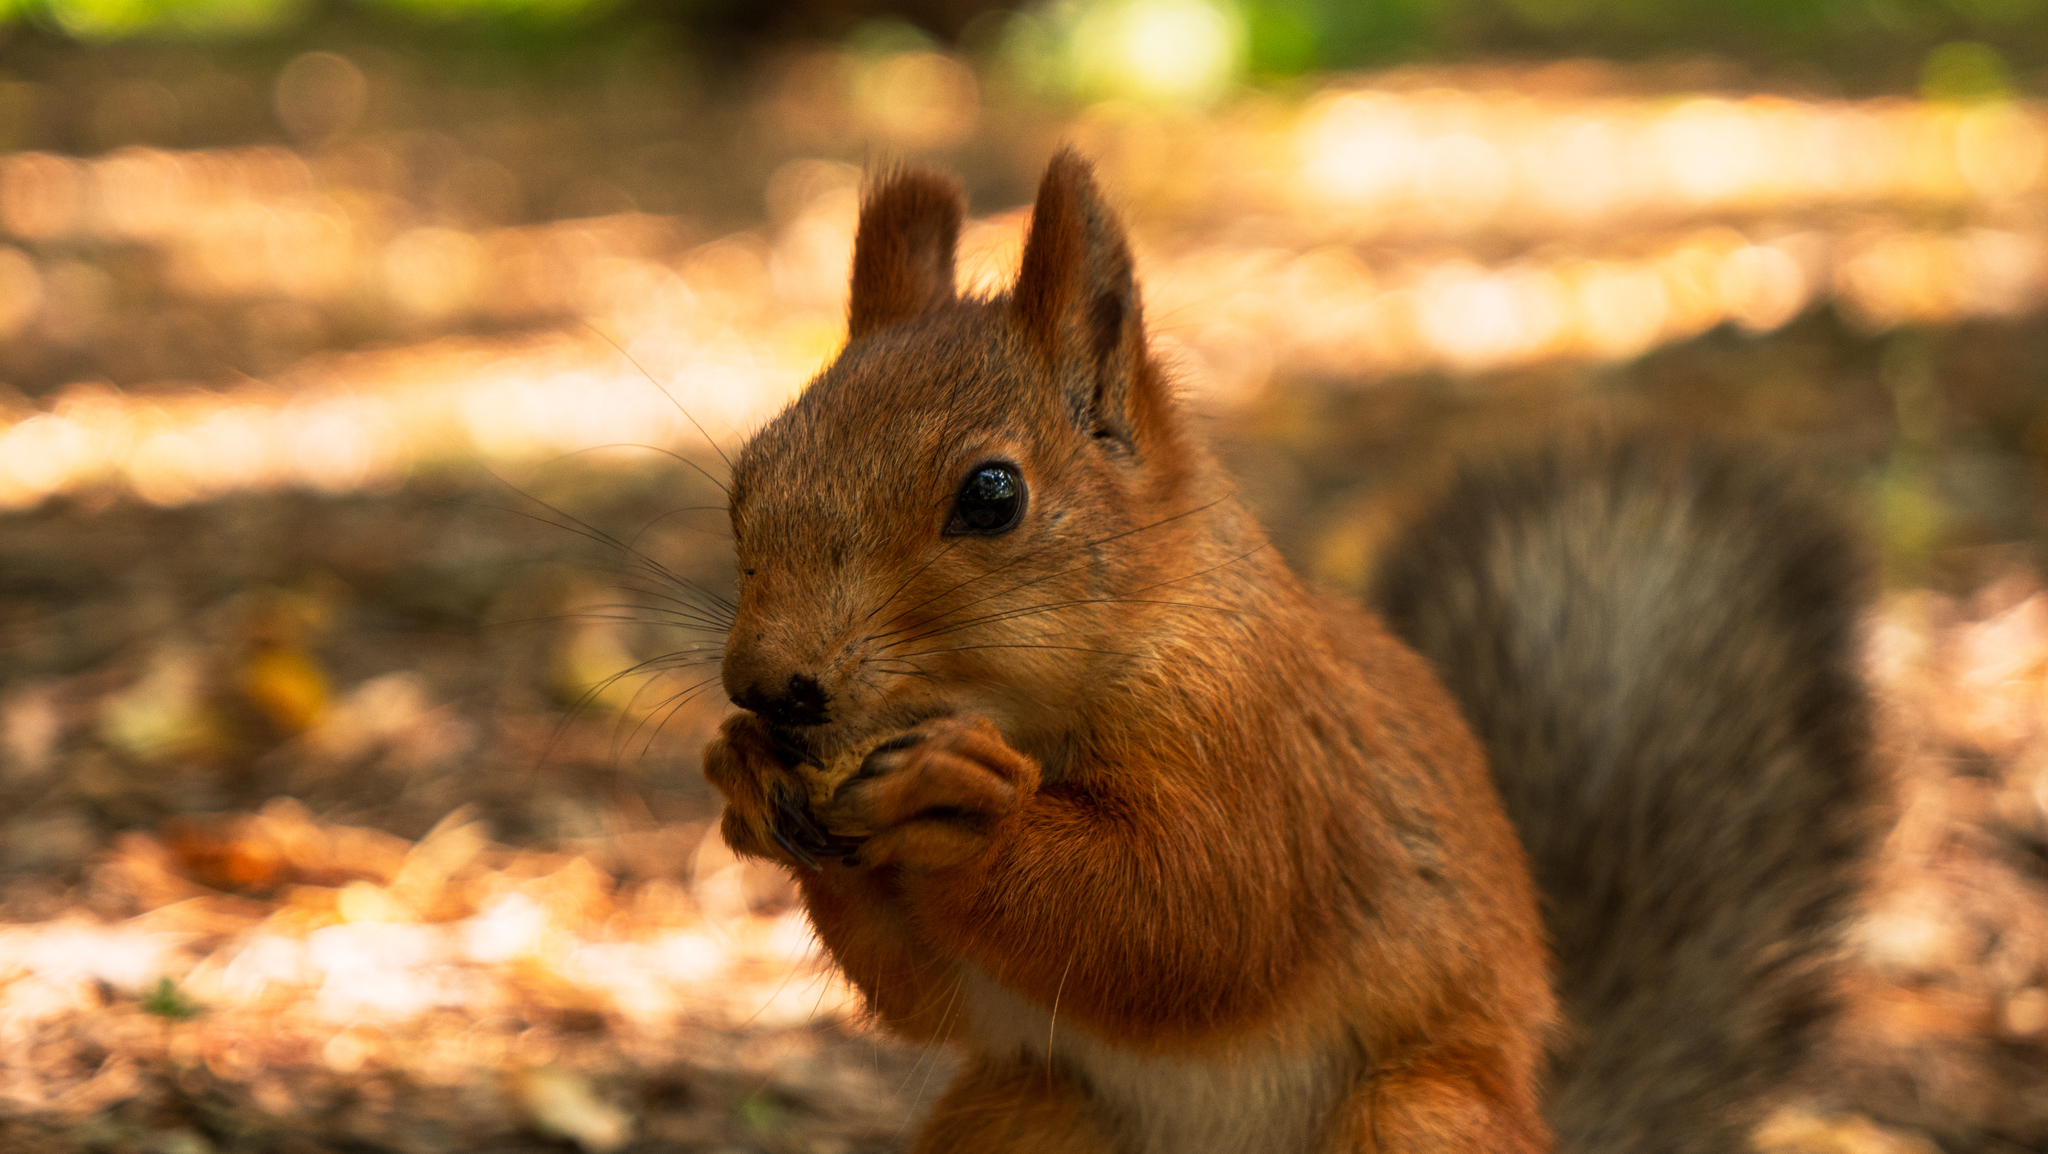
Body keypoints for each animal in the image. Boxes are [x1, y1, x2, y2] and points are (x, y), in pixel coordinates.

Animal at [696, 153, 1875, 1154]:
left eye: (992, 494)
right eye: (750, 474)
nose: (768, 685)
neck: (1032, 714)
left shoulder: (1269, 750)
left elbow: (1199, 912)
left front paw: (963, 815)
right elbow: (926, 996)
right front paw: (746, 773)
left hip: (1415, 1115)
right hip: (1025, 1111)